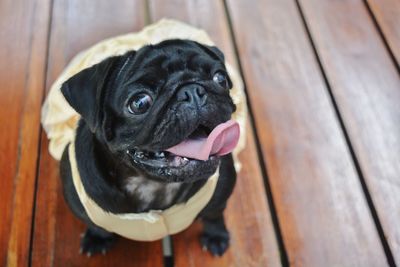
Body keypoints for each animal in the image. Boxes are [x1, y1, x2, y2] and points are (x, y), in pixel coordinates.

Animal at [59, 39, 239, 258]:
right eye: (139, 103)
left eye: (220, 78)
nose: (191, 91)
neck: (152, 185)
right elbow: (95, 225)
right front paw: (97, 238)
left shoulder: (222, 189)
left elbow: (214, 214)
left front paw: (216, 236)